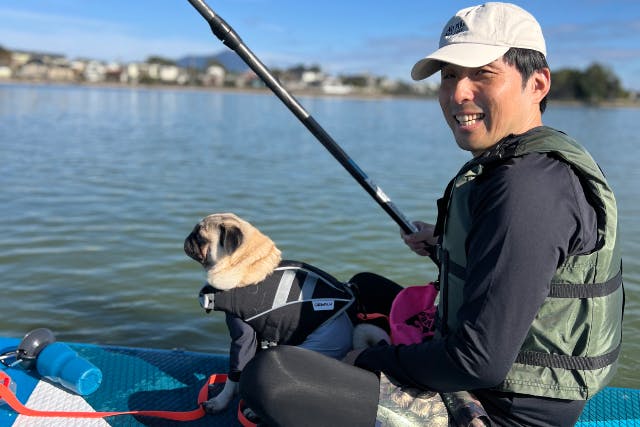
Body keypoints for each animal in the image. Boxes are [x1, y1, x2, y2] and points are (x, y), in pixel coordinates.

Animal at [184, 214, 356, 414]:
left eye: (200, 237)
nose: (188, 238)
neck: (247, 263)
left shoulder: (243, 335)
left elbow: (235, 373)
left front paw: (221, 401)